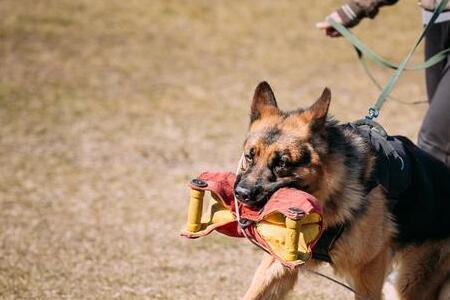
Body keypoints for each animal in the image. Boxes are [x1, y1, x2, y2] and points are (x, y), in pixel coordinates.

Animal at [234, 82, 450, 300]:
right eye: (250, 156)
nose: (242, 194)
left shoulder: (369, 269)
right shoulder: (279, 262)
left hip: (412, 282)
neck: (329, 191)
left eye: (282, 163)